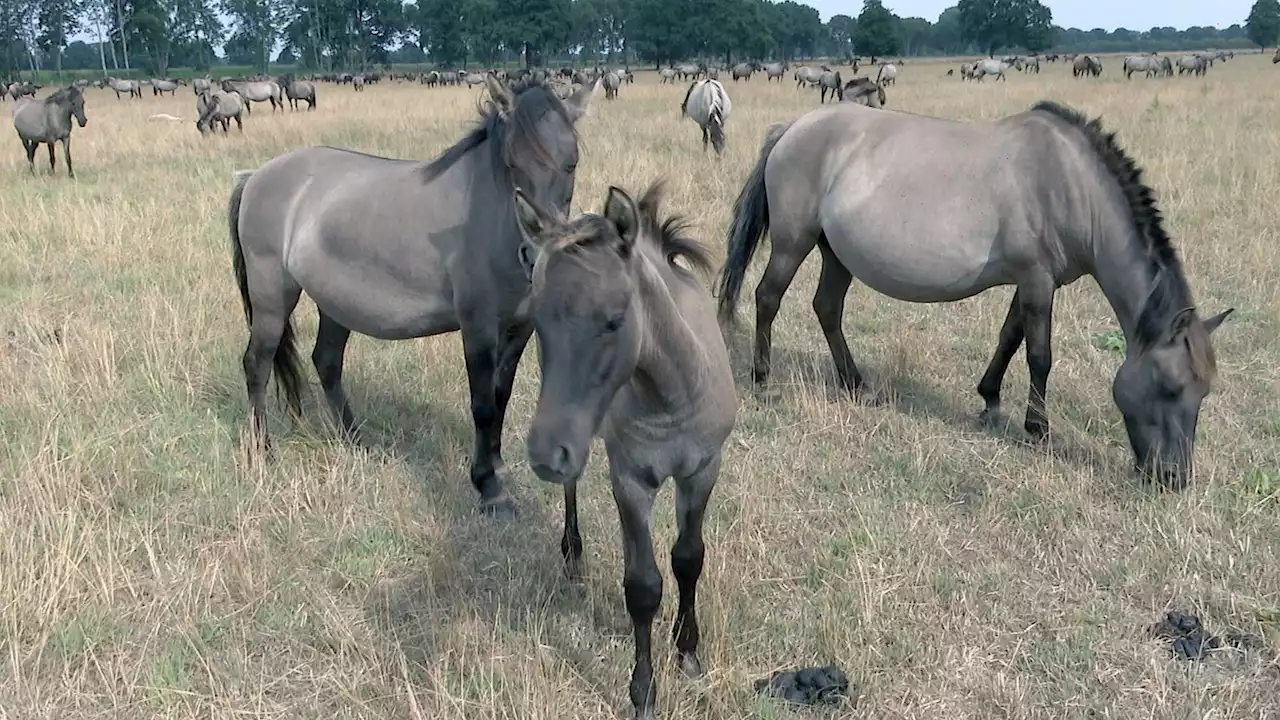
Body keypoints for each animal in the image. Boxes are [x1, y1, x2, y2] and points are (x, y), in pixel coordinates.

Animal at [226, 75, 599, 515]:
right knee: (258, 364)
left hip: (335, 303)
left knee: (327, 362)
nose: (535, 253)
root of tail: (255, 176)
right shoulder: (477, 326)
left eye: (571, 162)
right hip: (272, 296)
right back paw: (263, 451)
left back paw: (356, 441)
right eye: (511, 163)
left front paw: (497, 466)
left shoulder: (519, 327)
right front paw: (488, 487)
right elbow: (483, 405)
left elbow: (501, 398)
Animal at [506, 180, 732, 720]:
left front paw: (688, 652)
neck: (671, 396)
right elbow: (643, 587)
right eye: (536, 320)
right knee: (573, 487)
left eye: (613, 321)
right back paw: (572, 554)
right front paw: (644, 692)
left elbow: (689, 558)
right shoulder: (630, 479)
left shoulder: (702, 471)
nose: (545, 455)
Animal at [721, 101, 1228, 489]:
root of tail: (793, 127)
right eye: (1170, 387)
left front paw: (990, 400)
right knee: (768, 298)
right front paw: (1038, 429)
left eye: (1203, 392)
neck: (1068, 182)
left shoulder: (1032, 281)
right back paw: (764, 381)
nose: (1174, 478)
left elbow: (1009, 338)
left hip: (836, 254)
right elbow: (1040, 355)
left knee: (827, 308)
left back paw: (855, 383)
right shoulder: (1037, 281)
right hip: (794, 242)